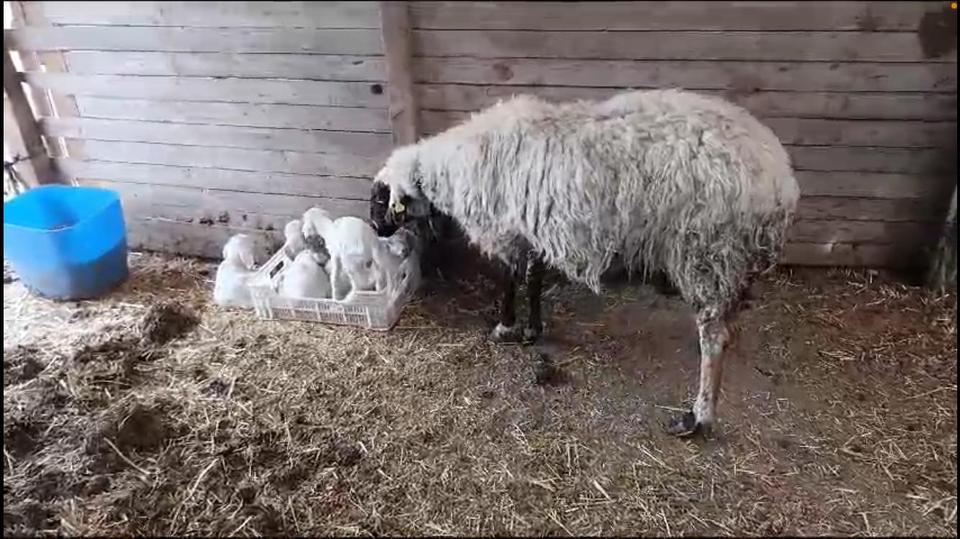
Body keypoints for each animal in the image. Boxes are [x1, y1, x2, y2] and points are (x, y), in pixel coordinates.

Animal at [376, 88, 804, 438]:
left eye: (379, 199)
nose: (378, 229)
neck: (449, 169)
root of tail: (781, 179)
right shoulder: (531, 232)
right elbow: (533, 280)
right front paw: (532, 329)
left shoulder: (506, 232)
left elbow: (509, 281)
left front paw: (504, 328)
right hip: (727, 259)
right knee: (726, 323)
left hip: (705, 251)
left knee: (714, 337)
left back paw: (697, 417)